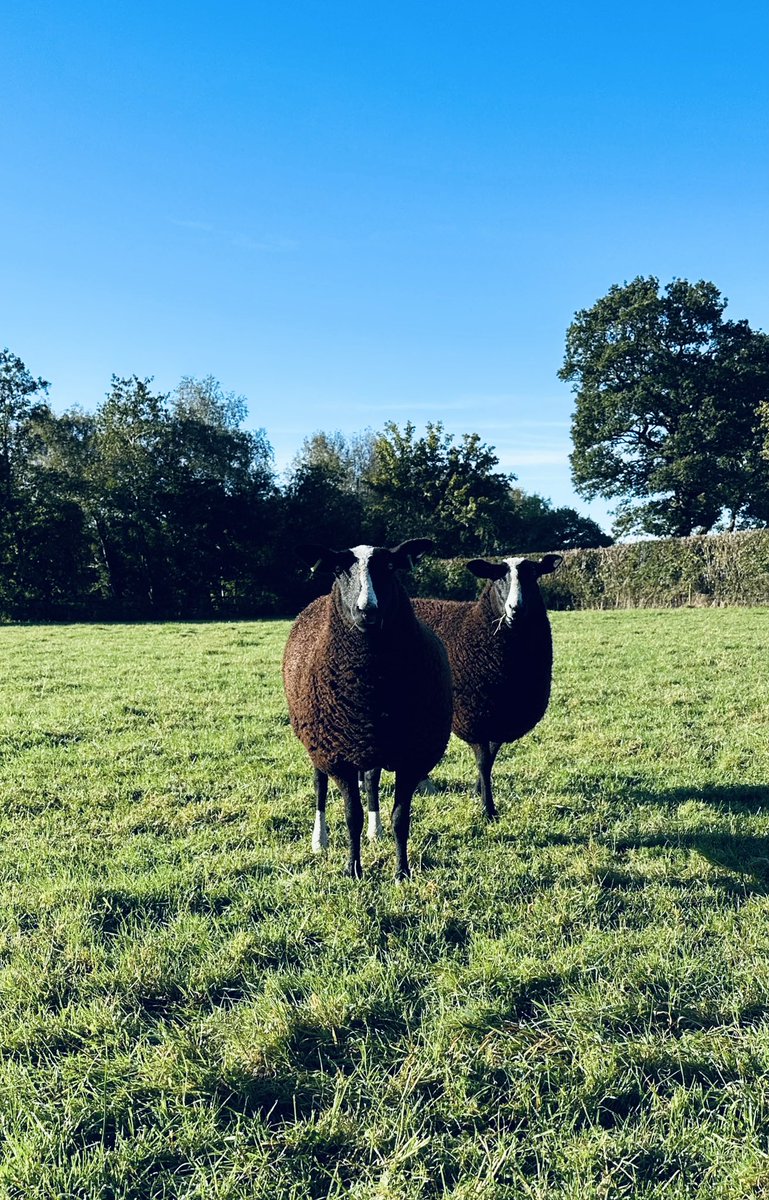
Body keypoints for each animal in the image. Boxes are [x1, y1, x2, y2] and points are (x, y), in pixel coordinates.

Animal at [282, 539, 453, 880]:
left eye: (389, 567)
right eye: (338, 569)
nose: (366, 610)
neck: (371, 691)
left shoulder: (412, 756)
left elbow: (400, 817)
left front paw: (402, 872)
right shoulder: (339, 756)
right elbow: (352, 816)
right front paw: (354, 869)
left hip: (371, 746)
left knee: (372, 782)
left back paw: (376, 831)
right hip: (318, 744)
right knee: (320, 786)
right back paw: (319, 840)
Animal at [407, 554, 562, 819]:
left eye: (533, 575)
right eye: (497, 577)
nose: (515, 609)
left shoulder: (502, 718)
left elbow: (491, 759)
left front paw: (477, 791)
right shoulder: (474, 718)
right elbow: (483, 761)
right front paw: (488, 809)